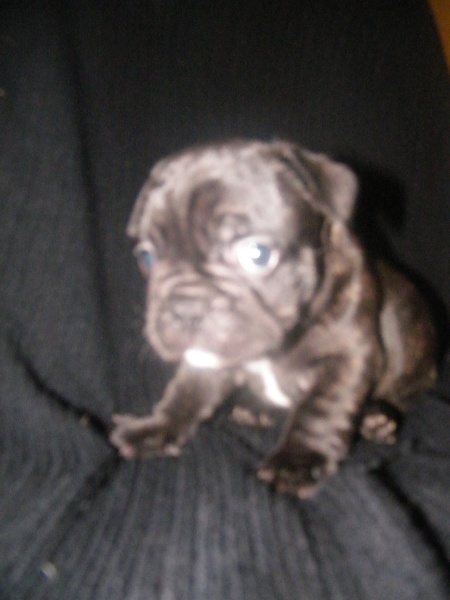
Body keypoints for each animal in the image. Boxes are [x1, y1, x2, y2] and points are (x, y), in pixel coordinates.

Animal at [110, 139, 437, 498]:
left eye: (258, 254)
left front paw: (297, 461)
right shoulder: (207, 359)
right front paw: (155, 428)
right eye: (146, 258)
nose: (185, 306)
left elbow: (322, 408)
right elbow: (186, 392)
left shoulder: (348, 357)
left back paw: (379, 418)